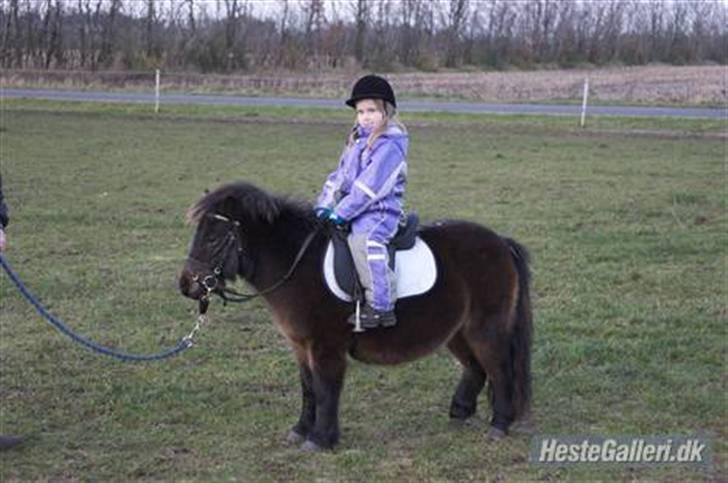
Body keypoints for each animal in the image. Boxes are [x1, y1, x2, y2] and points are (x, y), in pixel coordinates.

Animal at [179, 181, 532, 450]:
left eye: (213, 236)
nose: (186, 285)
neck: (298, 264)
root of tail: (500, 243)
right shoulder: (301, 346)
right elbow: (308, 388)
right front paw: (301, 431)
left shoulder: (326, 347)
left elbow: (326, 389)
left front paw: (321, 439)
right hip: (456, 330)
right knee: (475, 367)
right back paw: (460, 412)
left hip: (485, 326)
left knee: (499, 367)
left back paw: (500, 423)